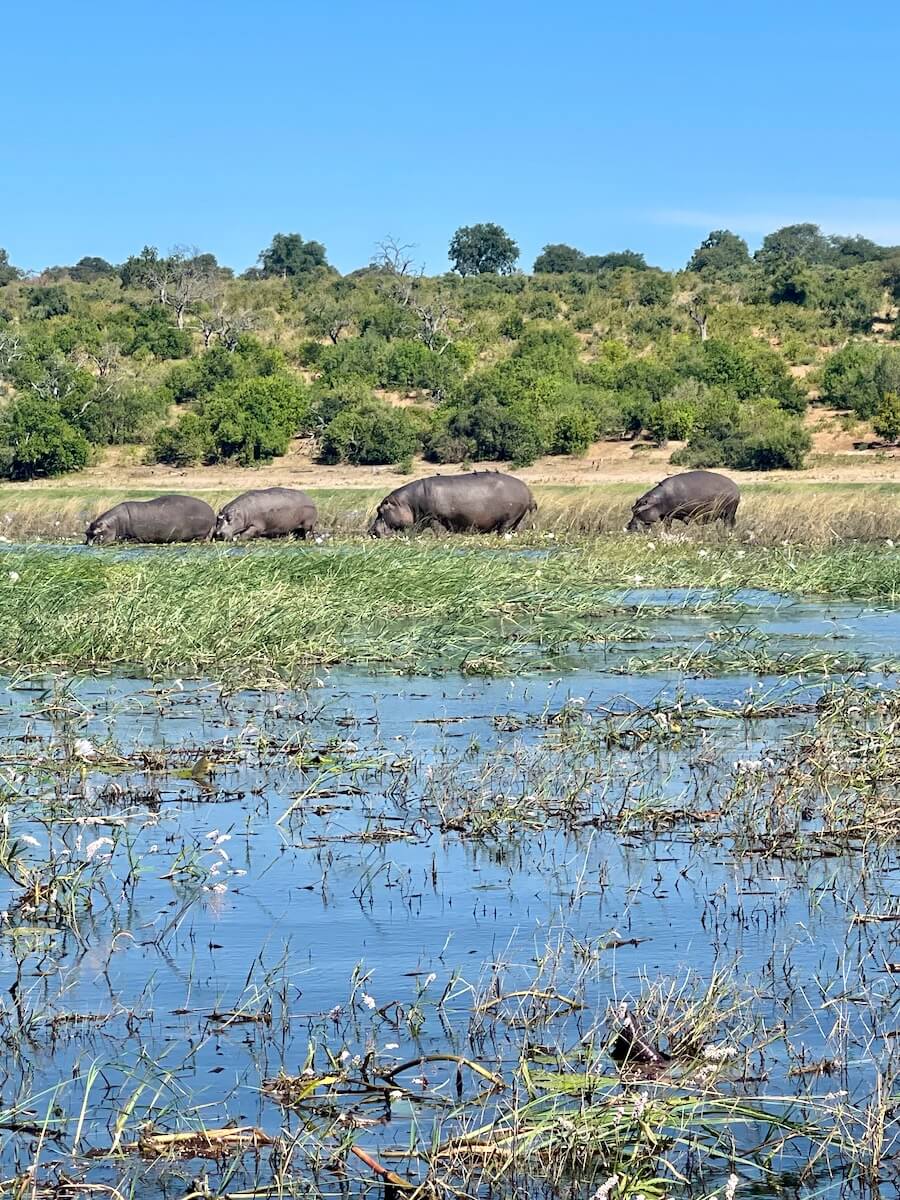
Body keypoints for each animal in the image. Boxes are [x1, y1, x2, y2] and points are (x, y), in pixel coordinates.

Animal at [85, 495, 215, 545]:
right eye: (86, 533)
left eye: (97, 532)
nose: (88, 545)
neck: (113, 524)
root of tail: (211, 510)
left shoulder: (134, 537)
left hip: (199, 534)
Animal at [369, 471, 536, 537]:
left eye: (380, 510)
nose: (370, 531)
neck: (406, 503)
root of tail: (527, 490)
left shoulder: (433, 518)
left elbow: (438, 530)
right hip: (516, 519)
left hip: (509, 518)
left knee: (503, 529)